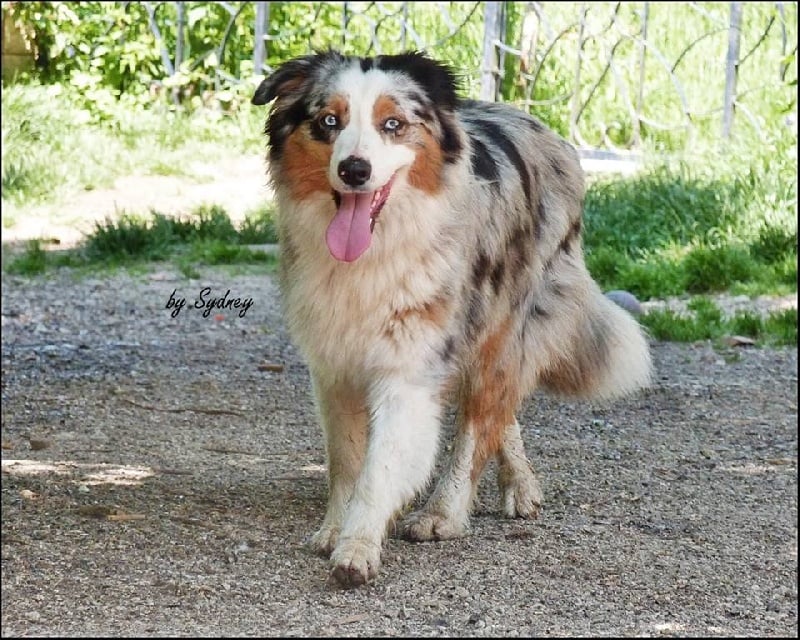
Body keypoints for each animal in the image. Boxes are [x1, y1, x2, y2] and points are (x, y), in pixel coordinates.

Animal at [252, 50, 651, 588]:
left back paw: (446, 510)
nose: (355, 169)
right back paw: (518, 484)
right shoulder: (334, 366)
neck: (376, 251)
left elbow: (382, 466)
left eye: (393, 124)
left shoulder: (409, 368)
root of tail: (546, 132)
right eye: (329, 121)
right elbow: (346, 458)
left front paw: (358, 546)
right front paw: (336, 528)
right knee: (502, 414)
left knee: (482, 419)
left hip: (504, 328)